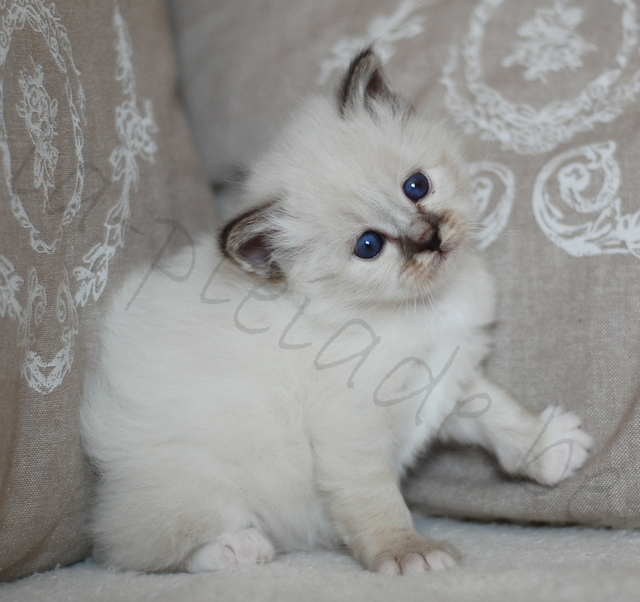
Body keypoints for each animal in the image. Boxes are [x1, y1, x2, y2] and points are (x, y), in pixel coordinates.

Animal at [81, 50, 596, 572]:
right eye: (369, 246)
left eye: (417, 186)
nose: (429, 239)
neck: (420, 310)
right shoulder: (351, 430)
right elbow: (377, 502)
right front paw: (409, 554)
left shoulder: (445, 377)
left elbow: (497, 412)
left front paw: (549, 447)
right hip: (195, 481)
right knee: (136, 544)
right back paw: (237, 548)